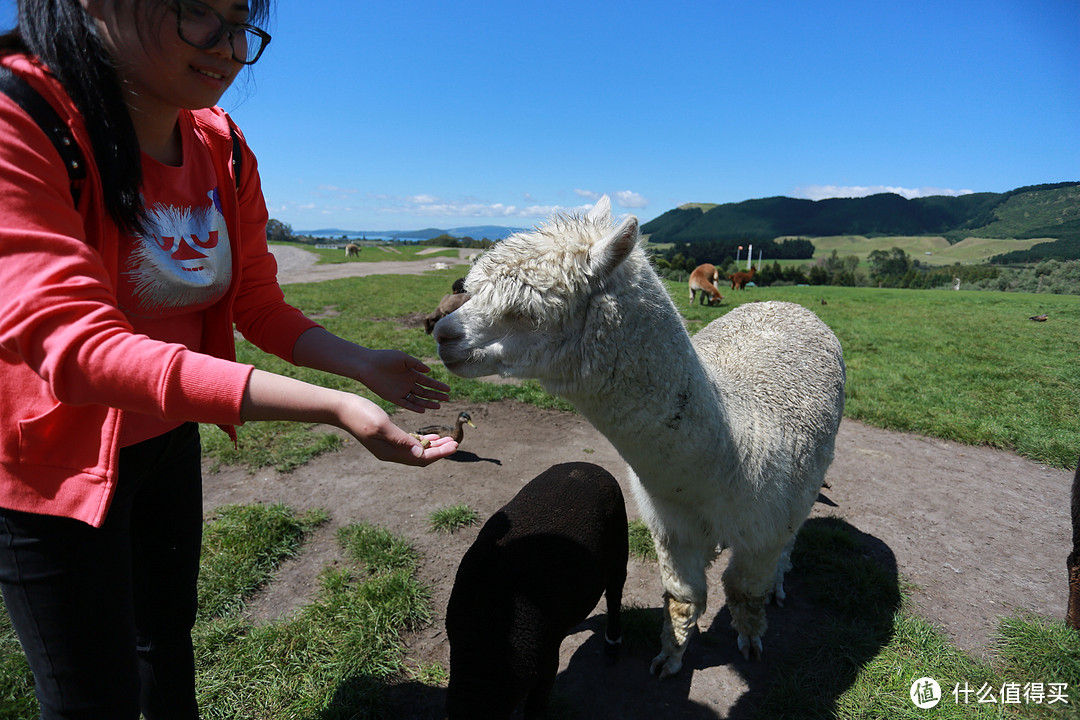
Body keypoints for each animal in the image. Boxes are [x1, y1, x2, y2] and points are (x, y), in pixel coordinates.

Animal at [444, 464, 630, 716]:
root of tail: (588, 466)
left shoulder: (547, 665)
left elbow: (534, 708)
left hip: (620, 544)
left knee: (614, 593)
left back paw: (613, 643)